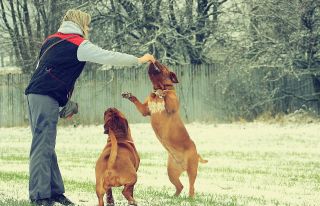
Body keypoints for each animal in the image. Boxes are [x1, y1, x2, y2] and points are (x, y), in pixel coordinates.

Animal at [122, 61, 208, 198]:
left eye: (162, 65)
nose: (154, 60)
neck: (158, 87)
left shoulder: (171, 106)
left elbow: (167, 95)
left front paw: (163, 93)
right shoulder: (145, 110)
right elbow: (137, 101)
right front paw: (129, 95)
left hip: (192, 170)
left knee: (191, 186)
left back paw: (190, 198)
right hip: (171, 172)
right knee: (180, 186)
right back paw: (174, 197)